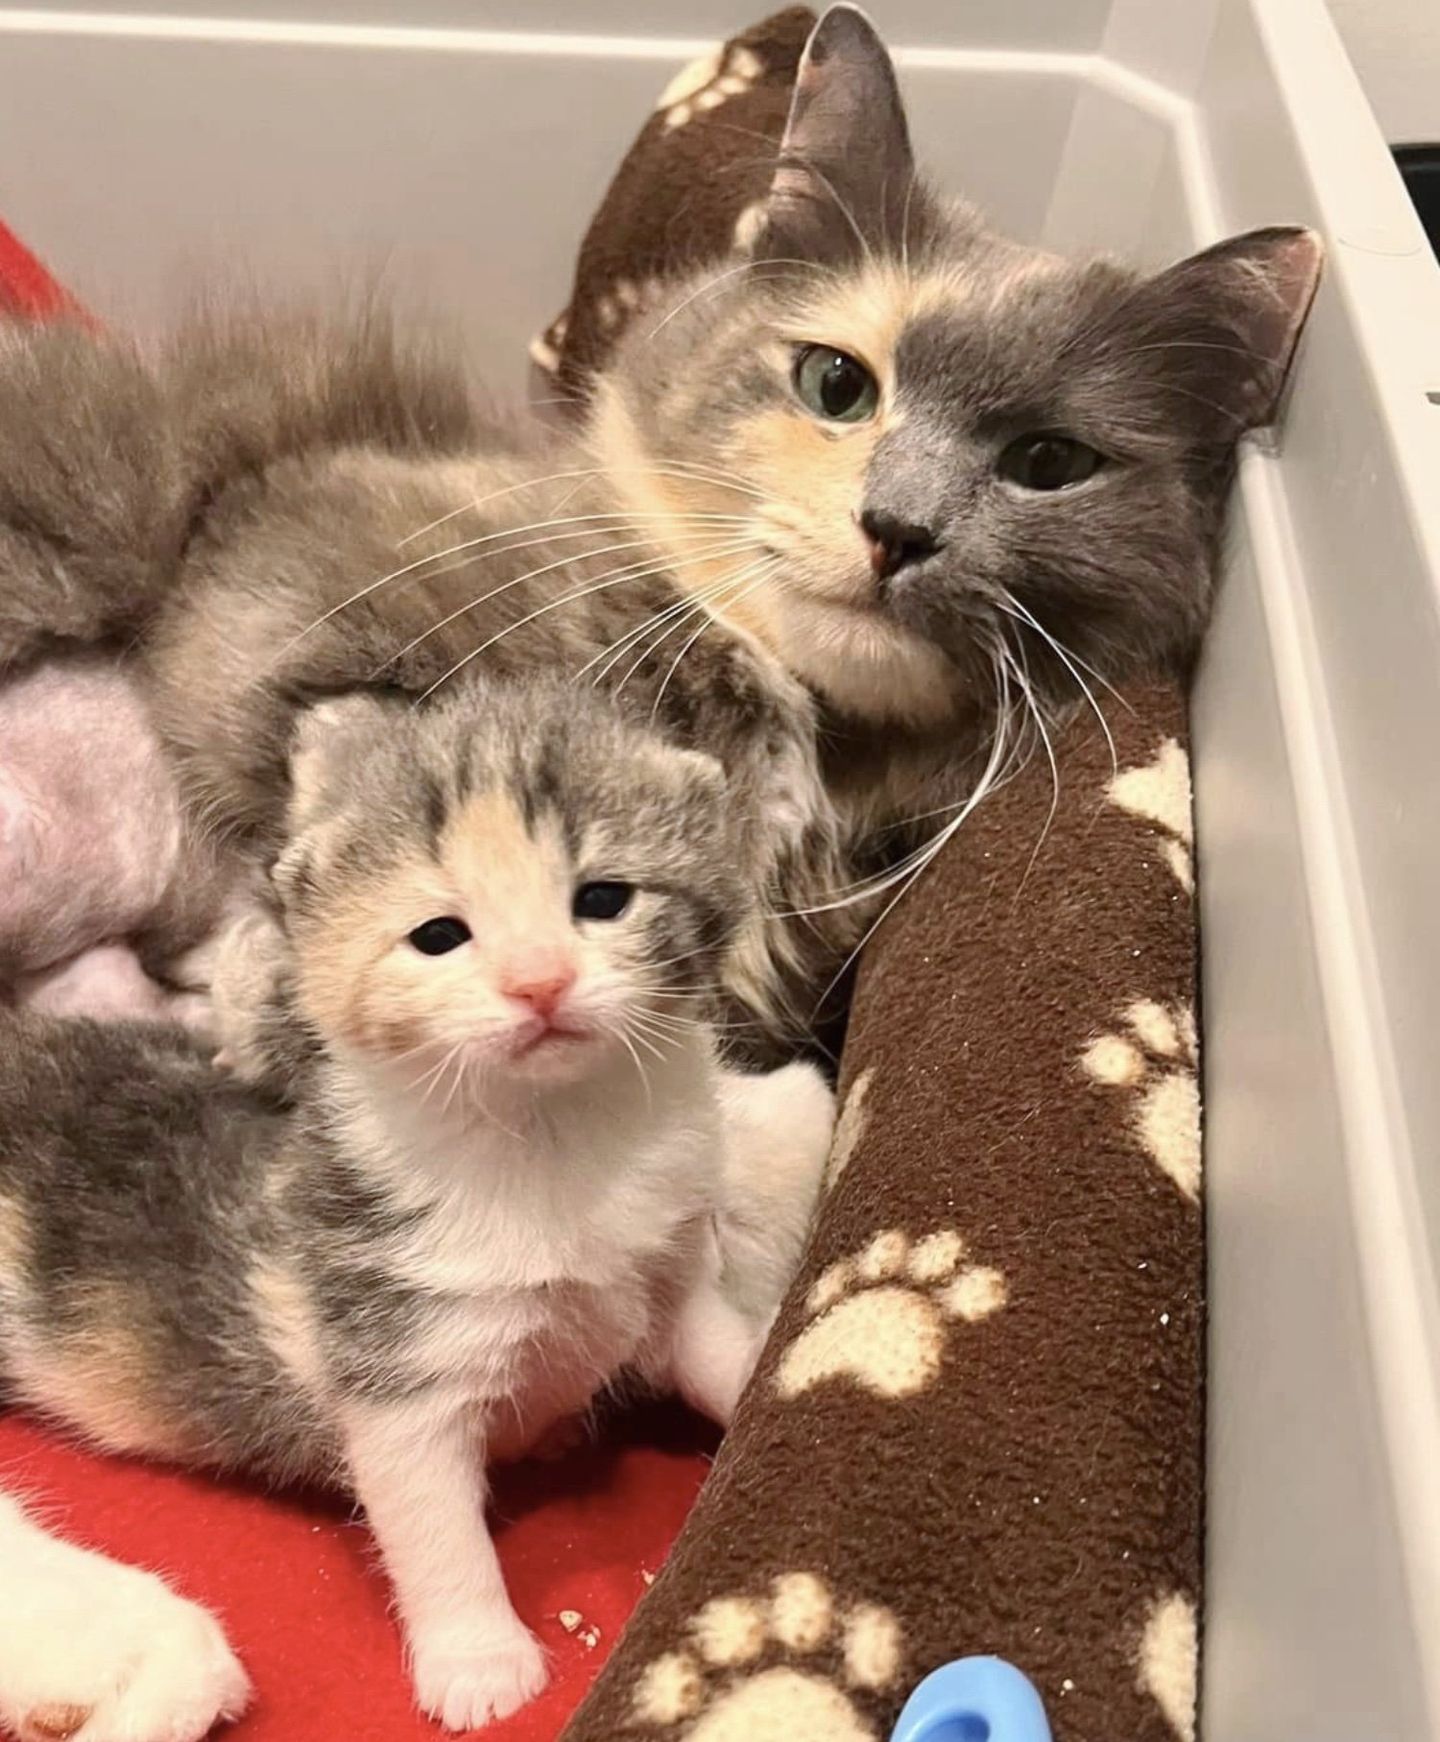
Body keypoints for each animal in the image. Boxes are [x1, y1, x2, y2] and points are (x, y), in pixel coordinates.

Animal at [0, 675, 828, 1728]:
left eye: (603, 899)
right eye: (440, 935)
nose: (538, 982)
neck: (554, 1146)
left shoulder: (669, 1276)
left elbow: (718, 1348)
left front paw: (783, 1378)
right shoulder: (396, 1354)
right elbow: (435, 1525)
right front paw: (477, 1664)